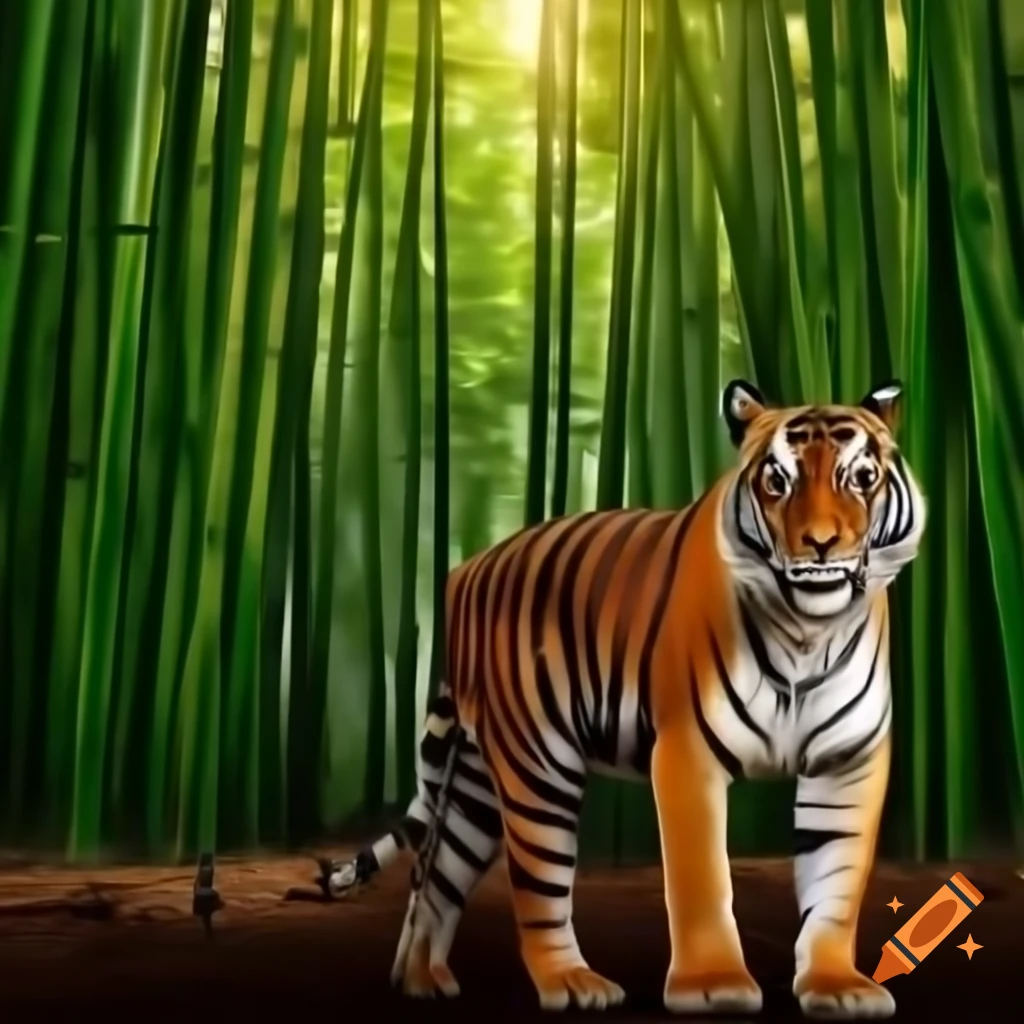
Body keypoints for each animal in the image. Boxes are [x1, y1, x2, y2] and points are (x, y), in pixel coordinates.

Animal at [329, 379, 925, 1019]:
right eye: (776, 481)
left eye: (861, 477)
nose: (820, 544)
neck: (808, 634)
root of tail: (465, 572)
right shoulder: (688, 754)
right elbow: (701, 880)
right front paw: (713, 985)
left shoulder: (848, 762)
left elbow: (835, 881)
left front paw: (836, 986)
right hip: (536, 765)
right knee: (537, 885)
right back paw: (571, 982)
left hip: (475, 783)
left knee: (438, 874)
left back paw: (423, 981)